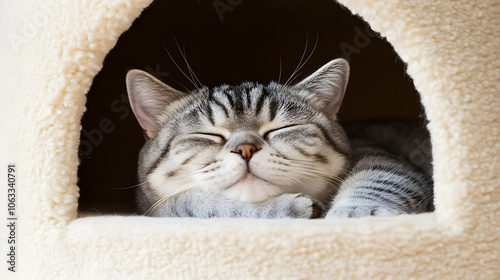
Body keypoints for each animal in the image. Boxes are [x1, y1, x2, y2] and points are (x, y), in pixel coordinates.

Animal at [126, 58, 434, 219]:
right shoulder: (158, 208)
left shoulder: (381, 157)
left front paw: (351, 215)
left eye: (280, 128)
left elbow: (377, 181)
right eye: (208, 134)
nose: (245, 148)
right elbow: (194, 203)